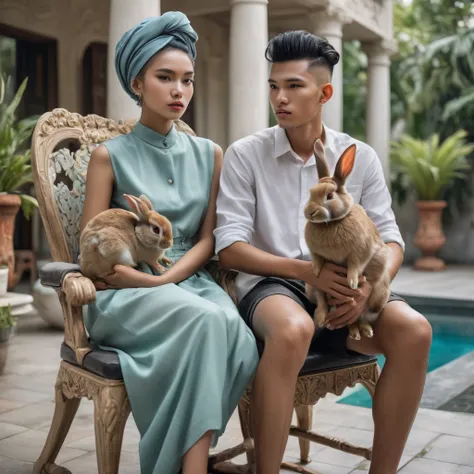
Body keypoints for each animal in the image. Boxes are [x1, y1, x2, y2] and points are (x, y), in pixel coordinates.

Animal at [306, 139, 390, 338]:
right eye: (310, 193)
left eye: (329, 195)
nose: (310, 212)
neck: (331, 223)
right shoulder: (315, 253)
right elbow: (317, 261)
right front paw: (316, 270)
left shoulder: (361, 252)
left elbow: (355, 265)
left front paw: (352, 282)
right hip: (312, 288)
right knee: (324, 302)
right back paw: (326, 322)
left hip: (377, 299)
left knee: (362, 315)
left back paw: (365, 332)